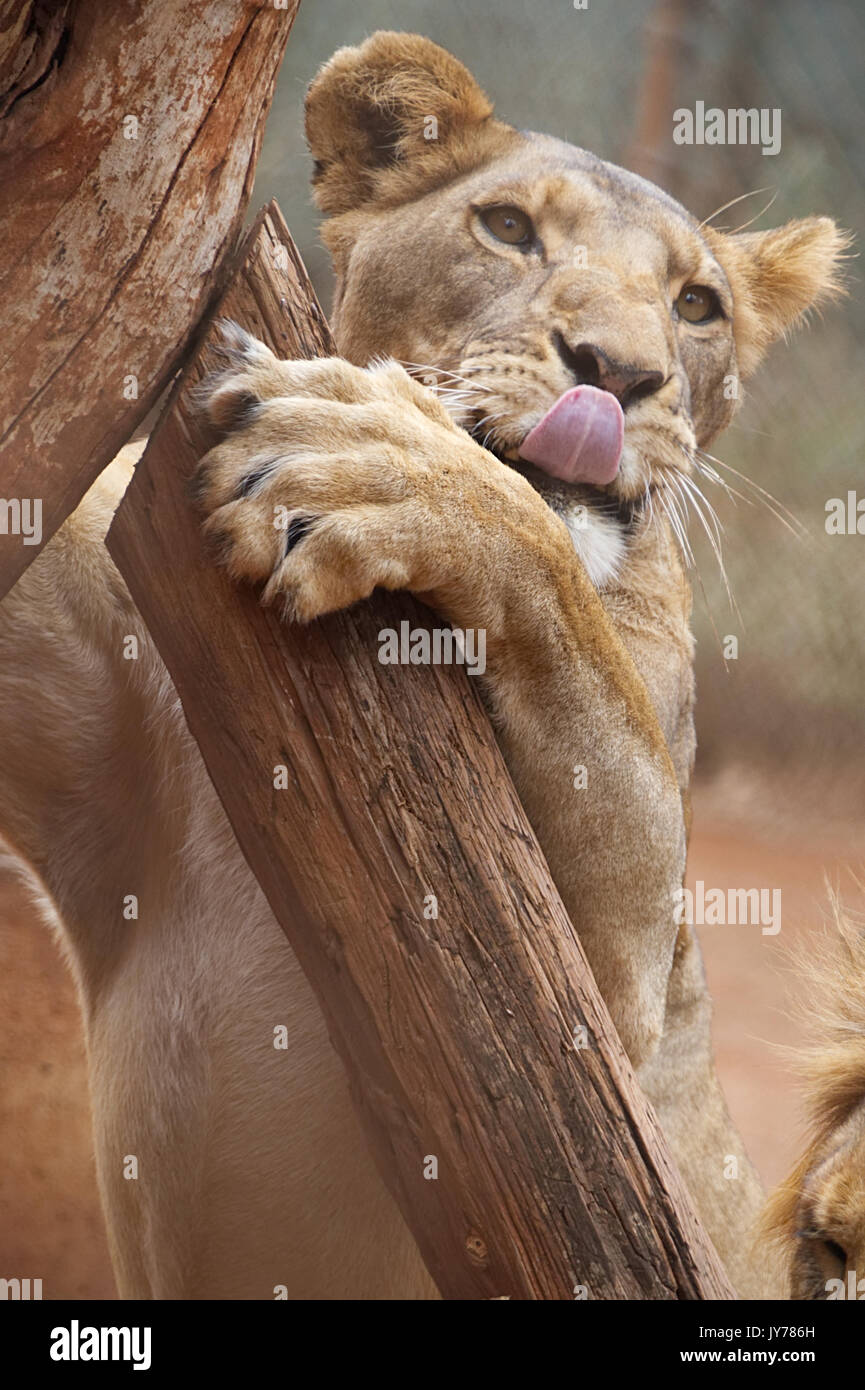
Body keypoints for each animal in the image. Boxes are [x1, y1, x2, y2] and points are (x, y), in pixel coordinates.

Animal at [0, 27, 845, 1295]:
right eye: (506, 227)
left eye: (695, 302)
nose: (618, 371)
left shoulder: (607, 1014)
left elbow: (543, 570)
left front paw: (372, 456)